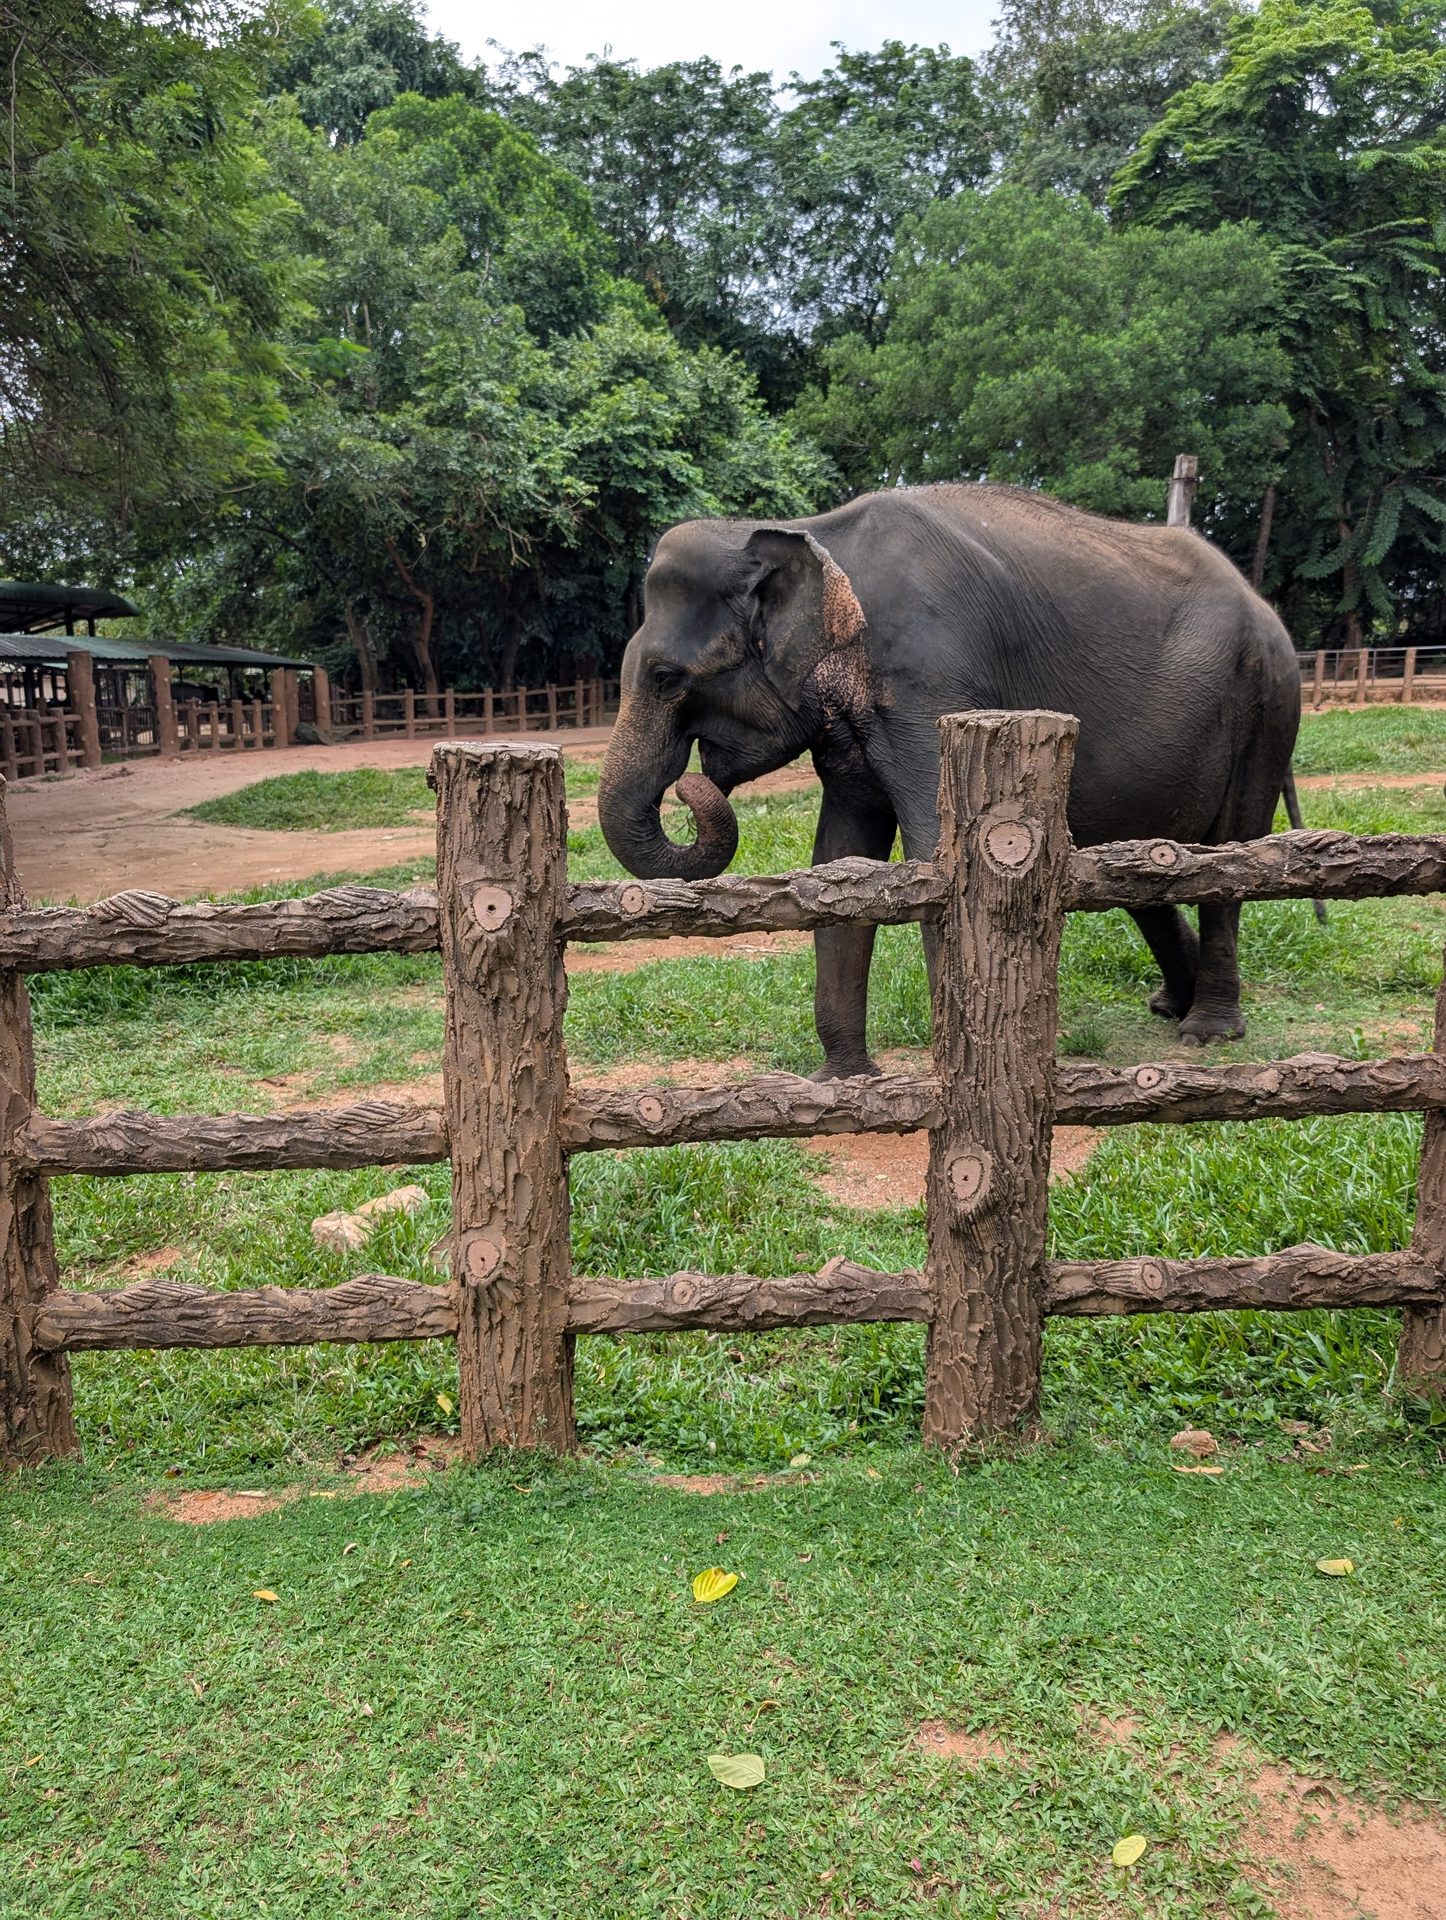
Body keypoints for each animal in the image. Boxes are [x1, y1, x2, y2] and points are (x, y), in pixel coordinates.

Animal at [596, 484, 1302, 1079]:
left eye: (664, 677)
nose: (692, 784)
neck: (812, 531)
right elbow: (840, 859)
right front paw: (843, 1082)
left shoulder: (930, 686)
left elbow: (937, 851)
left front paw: (958, 1075)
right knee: (1144, 873)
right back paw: (1170, 1005)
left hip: (1266, 706)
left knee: (1231, 854)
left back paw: (1207, 1032)